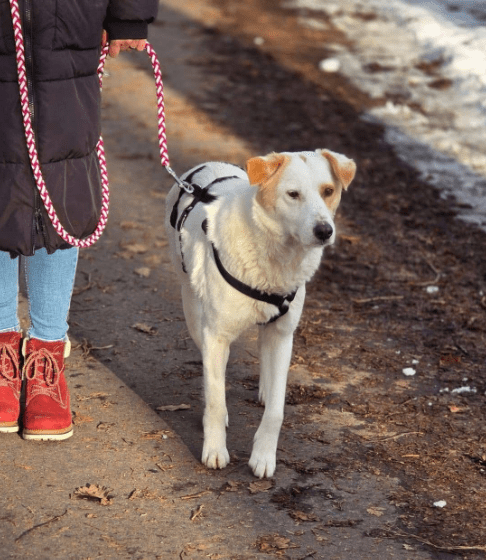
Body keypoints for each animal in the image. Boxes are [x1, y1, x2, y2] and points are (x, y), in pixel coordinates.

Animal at [165, 149, 356, 476]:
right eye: (293, 194)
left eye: (328, 191)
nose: (324, 231)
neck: (275, 256)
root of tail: (207, 166)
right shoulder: (215, 335)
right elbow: (216, 400)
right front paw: (215, 448)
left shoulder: (283, 333)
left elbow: (277, 410)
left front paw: (264, 456)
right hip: (192, 308)